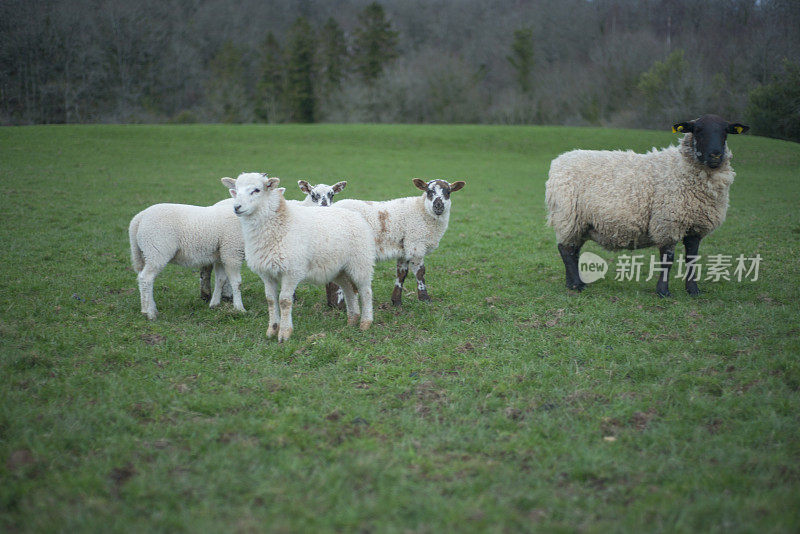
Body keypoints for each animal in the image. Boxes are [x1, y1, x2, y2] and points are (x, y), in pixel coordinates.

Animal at [222, 175, 376, 344]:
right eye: (236, 190)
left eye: (257, 190)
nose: (237, 207)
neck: (279, 225)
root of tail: (355, 214)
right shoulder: (266, 272)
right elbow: (270, 300)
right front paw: (271, 330)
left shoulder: (292, 271)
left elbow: (284, 301)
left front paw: (284, 333)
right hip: (339, 269)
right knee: (349, 290)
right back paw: (352, 320)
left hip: (360, 262)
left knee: (365, 291)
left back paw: (365, 322)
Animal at [334, 179, 466, 306]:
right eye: (429, 192)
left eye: (448, 192)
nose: (438, 206)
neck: (422, 211)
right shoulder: (415, 244)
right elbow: (420, 272)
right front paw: (424, 298)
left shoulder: (404, 250)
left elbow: (401, 274)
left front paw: (396, 301)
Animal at [548, 114, 748, 298]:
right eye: (697, 130)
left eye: (725, 132)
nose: (715, 154)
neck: (682, 168)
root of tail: (559, 161)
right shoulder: (668, 221)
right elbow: (667, 259)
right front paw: (663, 292)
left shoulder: (695, 225)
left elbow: (692, 258)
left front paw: (693, 291)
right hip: (568, 216)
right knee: (565, 250)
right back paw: (577, 286)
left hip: (581, 222)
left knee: (574, 250)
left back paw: (572, 283)